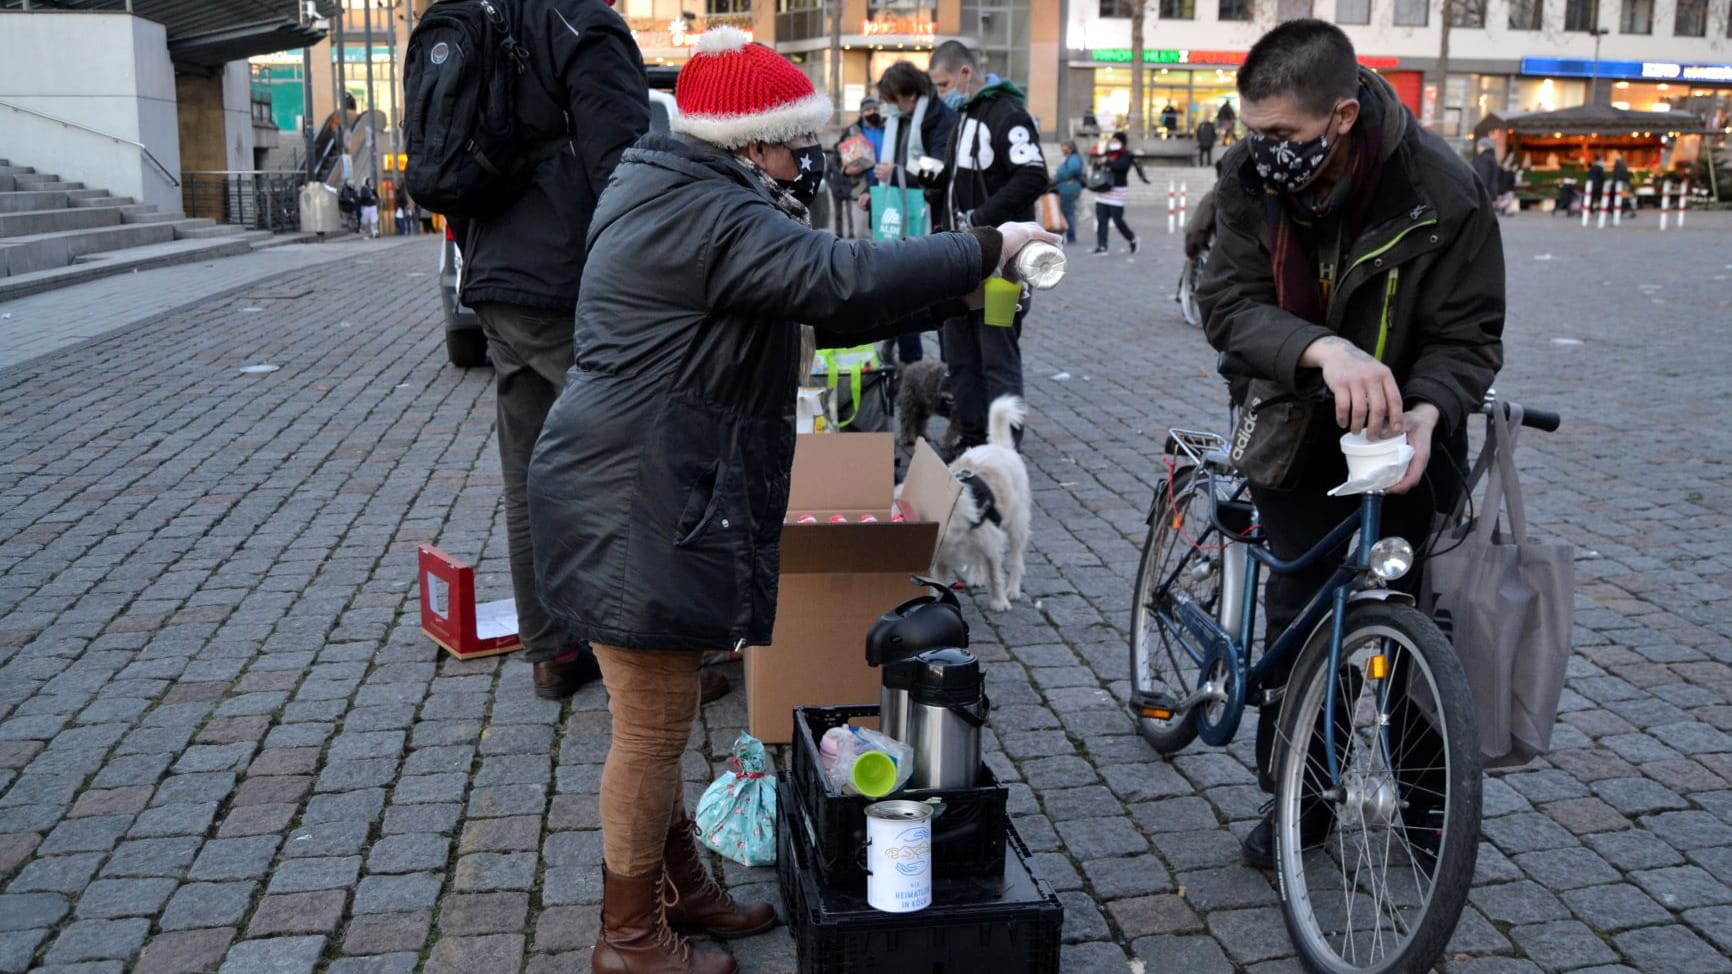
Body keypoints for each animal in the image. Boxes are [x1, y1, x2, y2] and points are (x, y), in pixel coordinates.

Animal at [935, 391, 1025, 606]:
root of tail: (1001, 446)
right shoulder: (943, 557)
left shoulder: (992, 541)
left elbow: (994, 573)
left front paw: (999, 602)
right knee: (977, 557)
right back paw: (976, 576)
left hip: (1017, 526)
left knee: (1016, 559)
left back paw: (1013, 589)